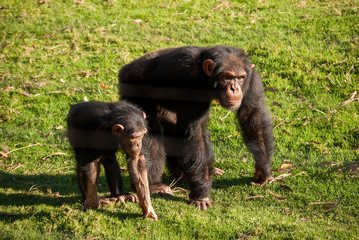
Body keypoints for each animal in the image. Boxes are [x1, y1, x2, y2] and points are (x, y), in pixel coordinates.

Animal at [119, 45, 276, 210]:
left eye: (240, 78)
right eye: (227, 77)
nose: (234, 88)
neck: (207, 79)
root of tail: (125, 68)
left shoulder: (252, 79)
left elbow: (252, 115)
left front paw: (264, 170)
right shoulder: (190, 84)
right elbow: (196, 134)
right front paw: (201, 194)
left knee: (173, 124)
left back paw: (187, 174)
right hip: (133, 89)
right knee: (150, 133)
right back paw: (154, 185)